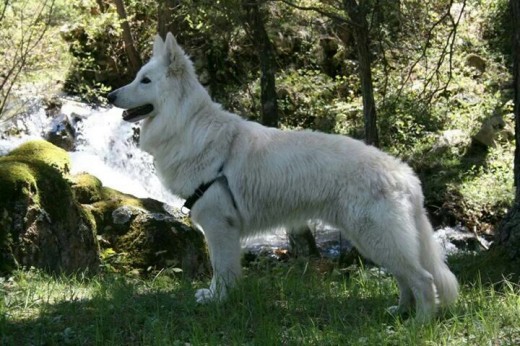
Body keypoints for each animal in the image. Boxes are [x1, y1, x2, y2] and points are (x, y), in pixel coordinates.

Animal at [107, 33, 458, 322]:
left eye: (145, 80)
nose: (110, 96)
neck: (187, 125)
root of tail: (405, 174)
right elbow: (225, 269)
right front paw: (220, 297)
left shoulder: (219, 225)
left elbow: (221, 269)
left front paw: (218, 300)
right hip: (373, 240)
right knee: (406, 279)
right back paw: (399, 312)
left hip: (377, 238)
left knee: (423, 280)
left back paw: (418, 324)